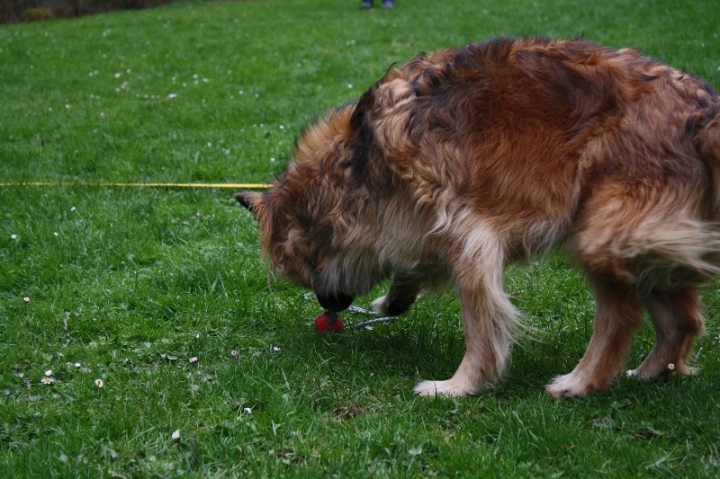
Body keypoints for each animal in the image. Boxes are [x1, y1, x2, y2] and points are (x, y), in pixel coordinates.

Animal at [238, 36, 720, 398]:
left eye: (305, 268)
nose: (329, 307)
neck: (361, 162)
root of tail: (703, 111)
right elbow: (413, 266)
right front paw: (393, 301)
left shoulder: (471, 236)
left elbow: (480, 324)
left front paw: (459, 385)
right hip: (640, 242)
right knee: (683, 319)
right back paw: (652, 371)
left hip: (603, 236)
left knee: (619, 318)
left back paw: (582, 382)